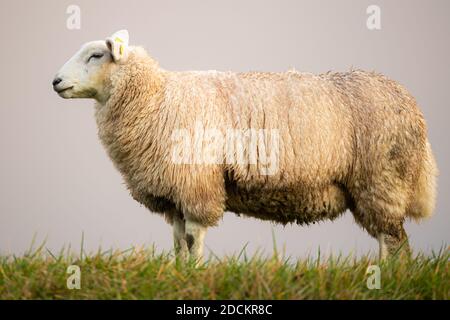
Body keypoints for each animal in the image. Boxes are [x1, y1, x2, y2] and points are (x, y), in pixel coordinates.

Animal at [51, 29, 436, 260]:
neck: (156, 98)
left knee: (393, 241)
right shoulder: (174, 192)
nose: (55, 81)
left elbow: (193, 238)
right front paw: (178, 274)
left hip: (382, 179)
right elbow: (177, 241)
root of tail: (409, 102)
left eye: (96, 56)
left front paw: (195, 275)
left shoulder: (197, 184)